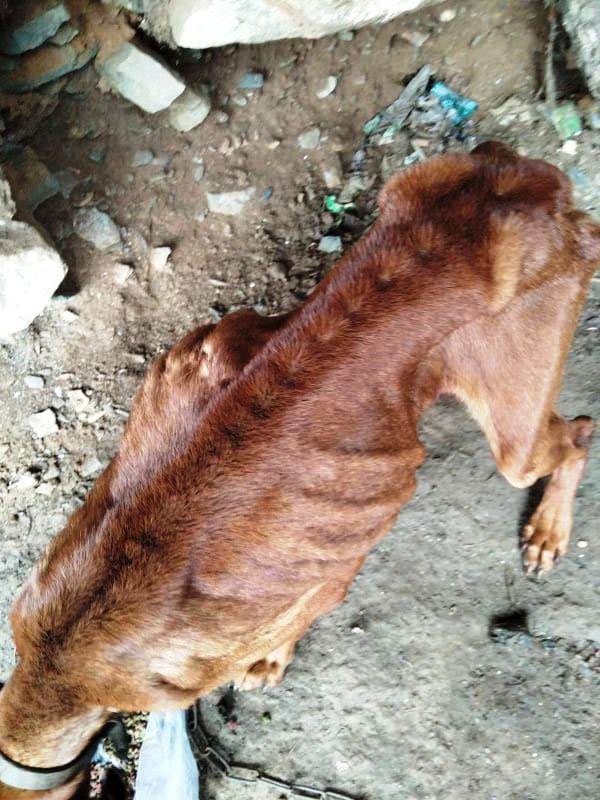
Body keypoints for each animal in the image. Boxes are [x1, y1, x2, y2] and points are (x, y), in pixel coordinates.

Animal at [0, 142, 597, 799]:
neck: (60, 662)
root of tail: (535, 186)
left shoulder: (326, 574)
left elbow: (292, 622)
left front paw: (271, 660)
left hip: (516, 431)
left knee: (580, 434)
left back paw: (548, 532)